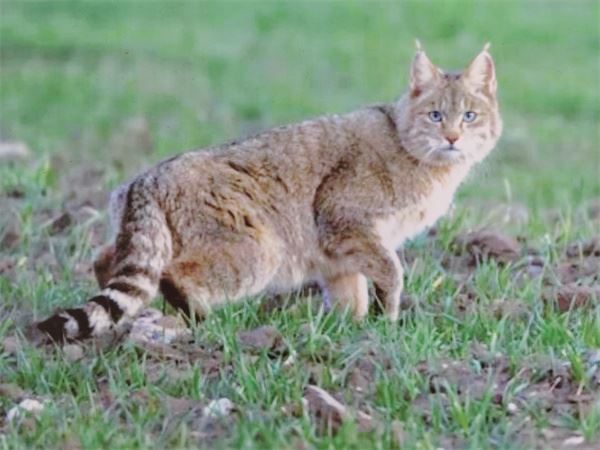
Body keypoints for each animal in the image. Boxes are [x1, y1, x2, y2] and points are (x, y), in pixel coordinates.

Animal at [34, 43, 502, 342]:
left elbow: (351, 295)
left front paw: (349, 331)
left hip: (144, 239)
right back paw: (198, 318)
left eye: (470, 116)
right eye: (436, 115)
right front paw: (384, 322)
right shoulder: (345, 219)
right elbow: (390, 270)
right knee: (173, 274)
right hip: (258, 250)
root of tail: (146, 179)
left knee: (108, 262)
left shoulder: (338, 254)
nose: (454, 138)